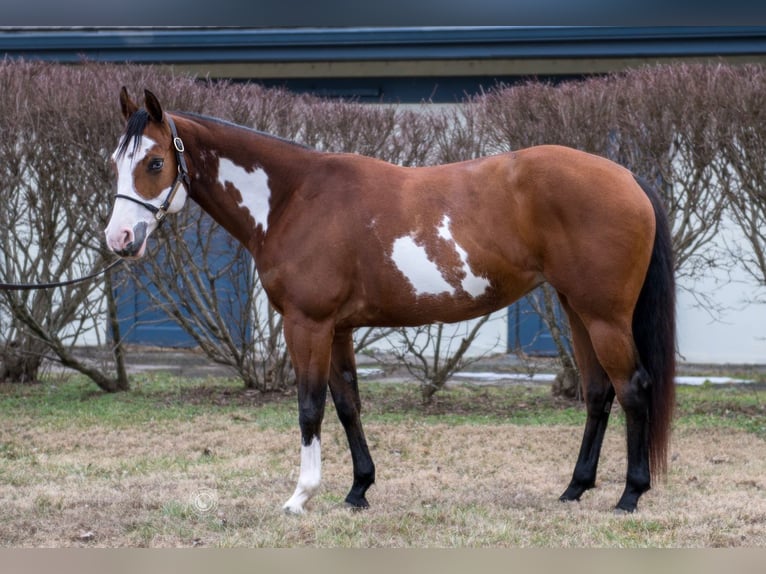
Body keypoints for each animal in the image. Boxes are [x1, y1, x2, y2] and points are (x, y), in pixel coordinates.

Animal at [105, 88, 676, 515]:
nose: (120, 239)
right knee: (599, 393)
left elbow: (309, 406)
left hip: (605, 316)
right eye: (115, 161)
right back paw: (575, 488)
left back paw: (630, 495)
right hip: (576, 309)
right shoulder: (336, 329)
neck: (294, 197)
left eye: (154, 162)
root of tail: (627, 177)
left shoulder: (307, 324)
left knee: (634, 388)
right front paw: (359, 488)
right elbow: (347, 404)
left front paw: (300, 497)